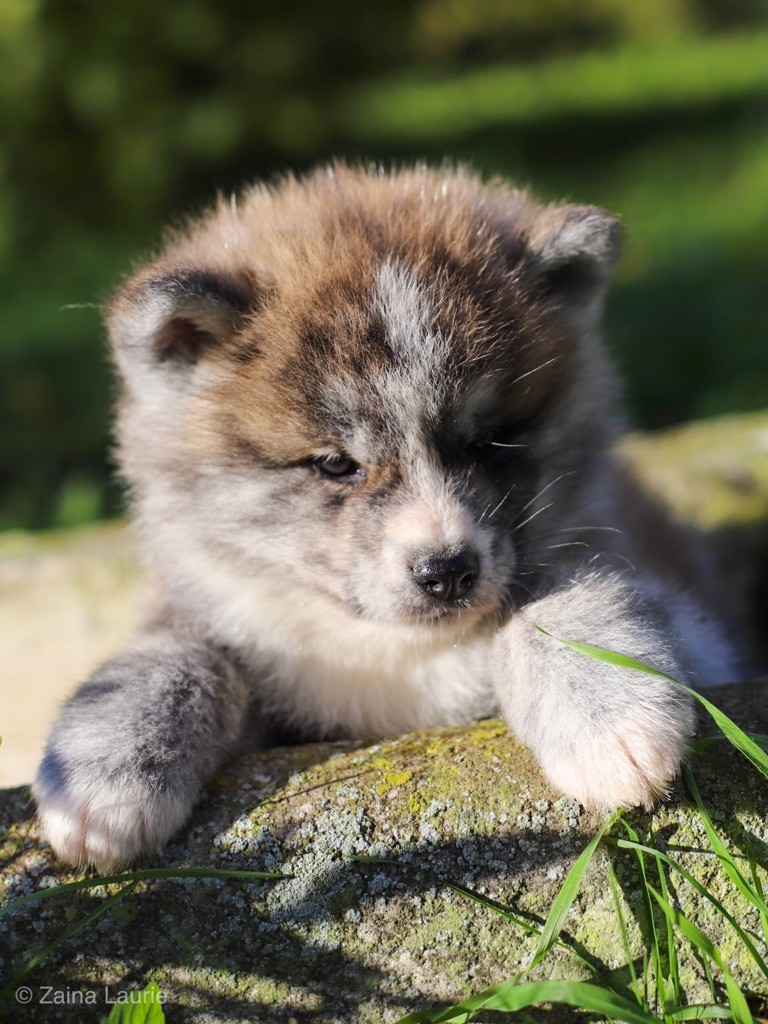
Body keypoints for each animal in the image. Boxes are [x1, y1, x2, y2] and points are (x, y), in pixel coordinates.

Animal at [34, 163, 738, 872]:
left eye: (488, 440)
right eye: (335, 464)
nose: (447, 571)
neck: (398, 656)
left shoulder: (704, 635)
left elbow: (560, 595)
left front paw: (604, 711)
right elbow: (176, 655)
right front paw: (104, 772)